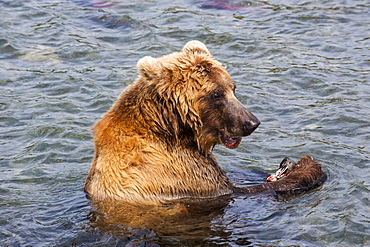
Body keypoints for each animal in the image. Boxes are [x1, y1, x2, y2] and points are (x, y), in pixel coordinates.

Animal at [84, 40, 326, 205]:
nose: (251, 122)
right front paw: (308, 166)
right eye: (216, 94)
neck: (172, 128)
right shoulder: (178, 171)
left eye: (233, 88)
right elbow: (240, 190)